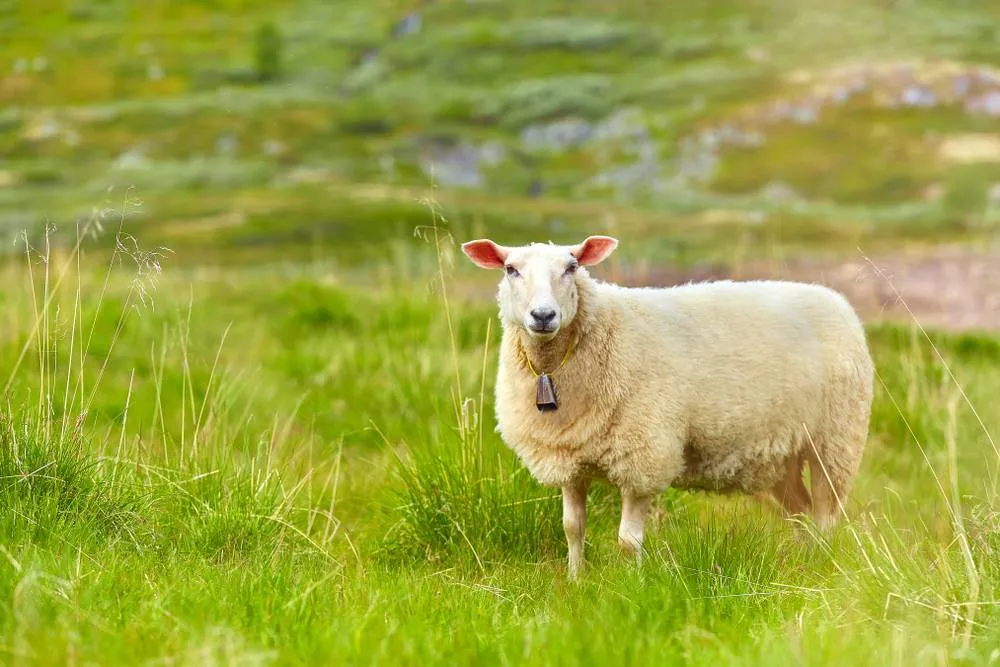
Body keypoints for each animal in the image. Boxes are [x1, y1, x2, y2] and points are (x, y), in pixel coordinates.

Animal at [460, 235, 874, 578]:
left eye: (571, 267)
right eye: (511, 269)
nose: (543, 316)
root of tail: (835, 299)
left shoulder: (643, 456)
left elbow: (628, 542)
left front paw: (629, 587)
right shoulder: (568, 458)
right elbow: (572, 529)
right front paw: (576, 581)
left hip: (835, 439)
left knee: (826, 514)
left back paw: (823, 567)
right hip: (781, 457)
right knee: (802, 514)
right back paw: (804, 564)